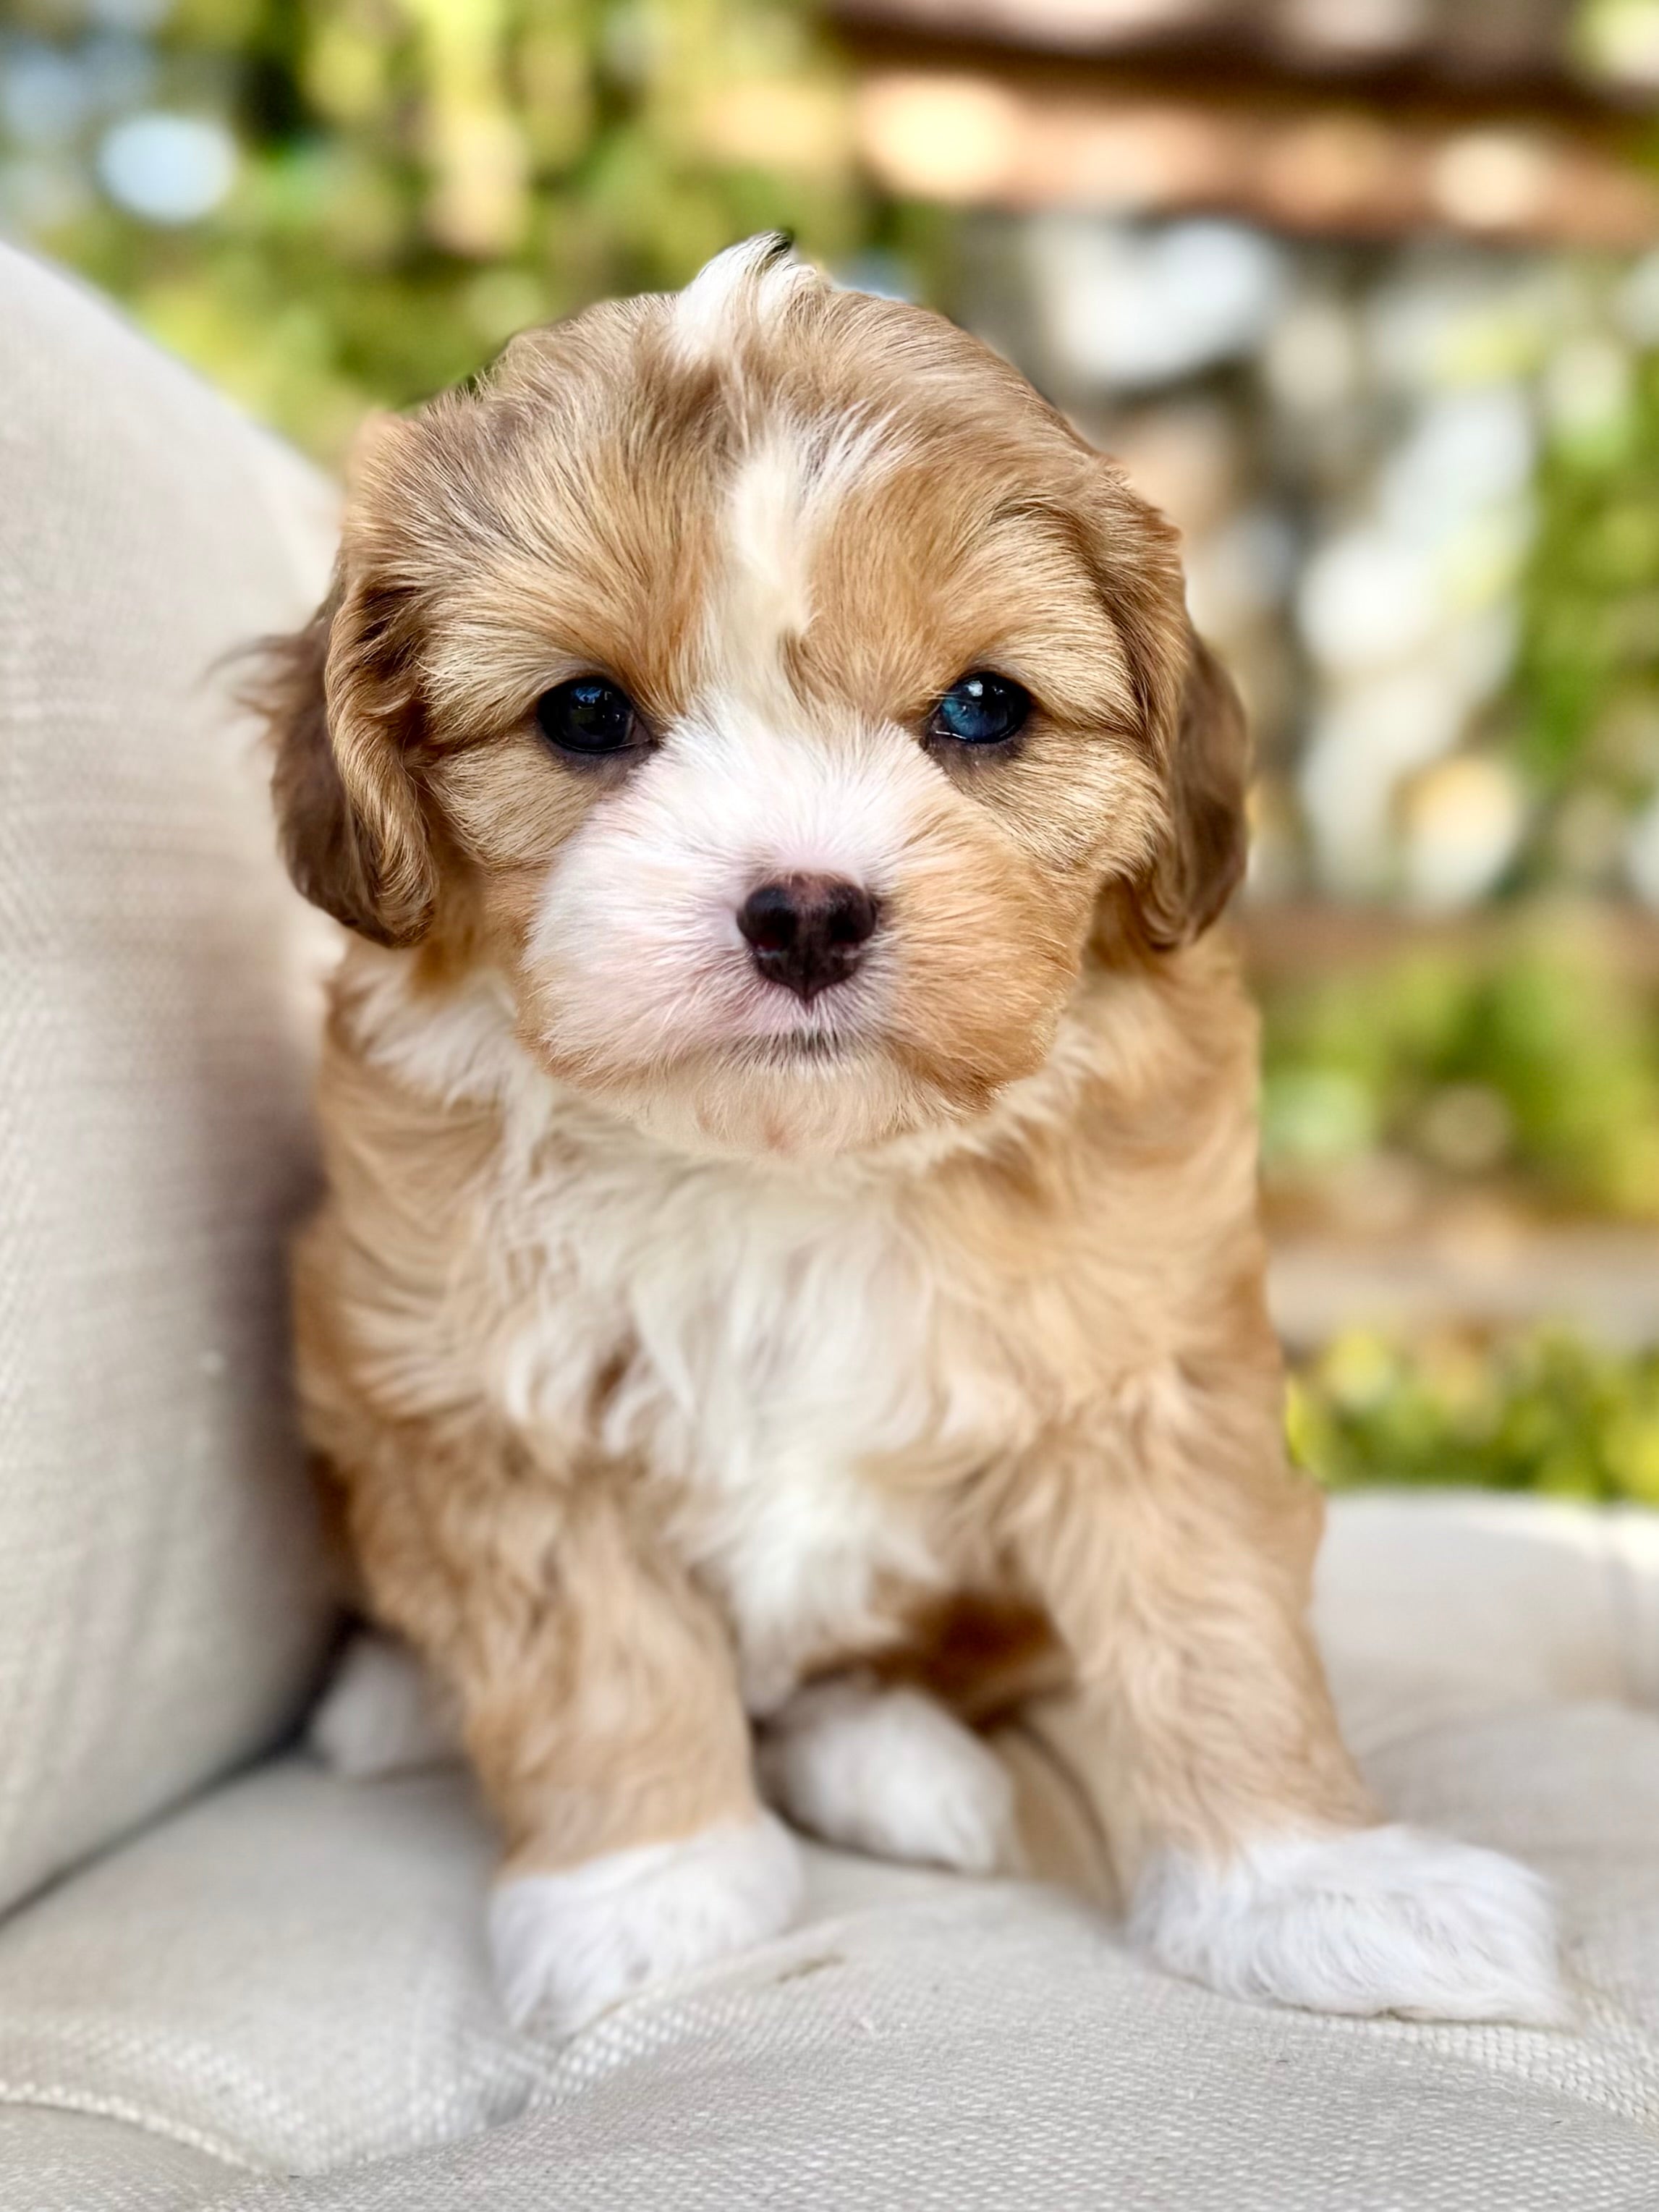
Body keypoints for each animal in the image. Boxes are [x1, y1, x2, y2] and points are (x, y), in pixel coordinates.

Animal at [263, 235, 1562, 2037]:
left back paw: (895, 1759)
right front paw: (645, 1893)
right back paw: (396, 1696)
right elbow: (588, 1653)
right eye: (584, 714)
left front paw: (1316, 1885)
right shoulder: (472, 1391)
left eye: (981, 708)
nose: (805, 909)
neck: (792, 1168)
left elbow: (1210, 1623)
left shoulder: (1146, 1360)